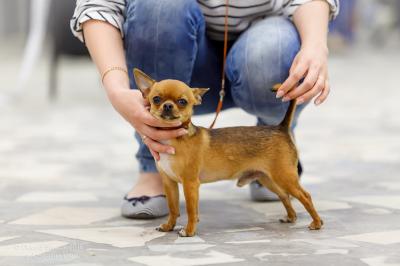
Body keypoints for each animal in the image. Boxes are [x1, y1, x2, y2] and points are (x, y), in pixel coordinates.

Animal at [133, 67, 324, 237]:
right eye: (156, 99)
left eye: (182, 102)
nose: (167, 106)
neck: (173, 138)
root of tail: (280, 128)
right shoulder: (169, 183)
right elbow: (173, 208)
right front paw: (168, 226)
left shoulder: (190, 184)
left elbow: (190, 209)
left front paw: (189, 231)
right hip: (268, 179)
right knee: (284, 196)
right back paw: (291, 217)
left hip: (284, 176)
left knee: (305, 196)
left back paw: (316, 223)